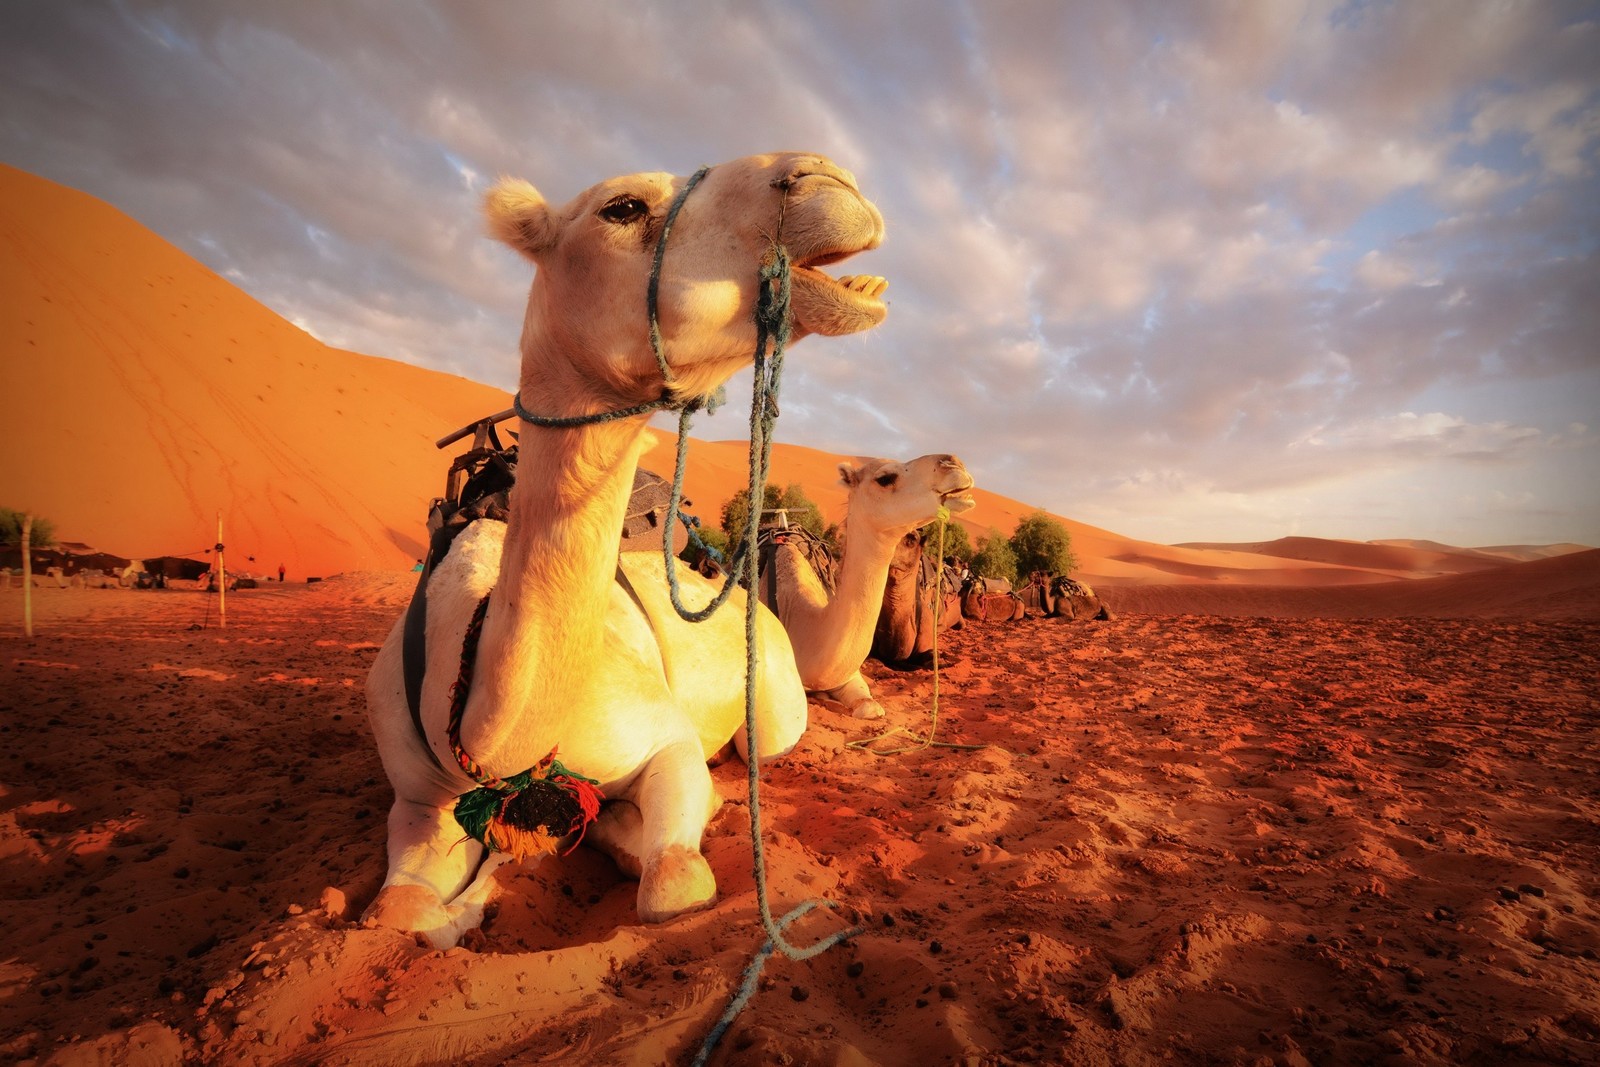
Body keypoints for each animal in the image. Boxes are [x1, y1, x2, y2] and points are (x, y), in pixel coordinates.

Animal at [363, 154, 889, 947]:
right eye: (623, 207)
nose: (828, 179)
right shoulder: (418, 796)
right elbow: (396, 913)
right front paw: (467, 897)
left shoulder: (663, 739)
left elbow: (674, 880)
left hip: (772, 709)